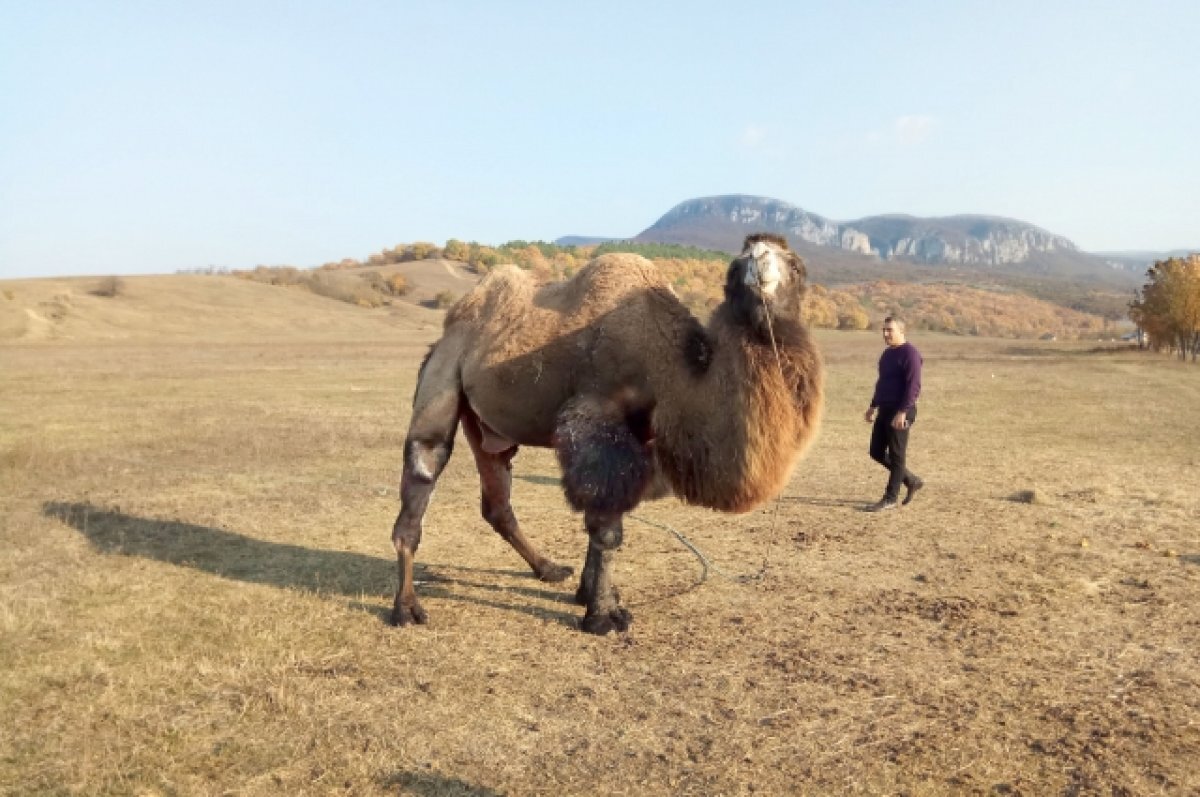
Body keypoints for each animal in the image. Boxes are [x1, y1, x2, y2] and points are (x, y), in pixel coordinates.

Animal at [388, 231, 820, 633]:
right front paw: (604, 615)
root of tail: (445, 334)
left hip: (487, 427)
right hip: (442, 378)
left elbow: (605, 516)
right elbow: (607, 527)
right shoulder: (596, 420)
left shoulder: (638, 439)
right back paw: (406, 608)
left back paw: (548, 568)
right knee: (424, 465)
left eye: (798, 267)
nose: (759, 258)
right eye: (735, 265)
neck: (670, 370)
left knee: (497, 500)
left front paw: (589, 592)